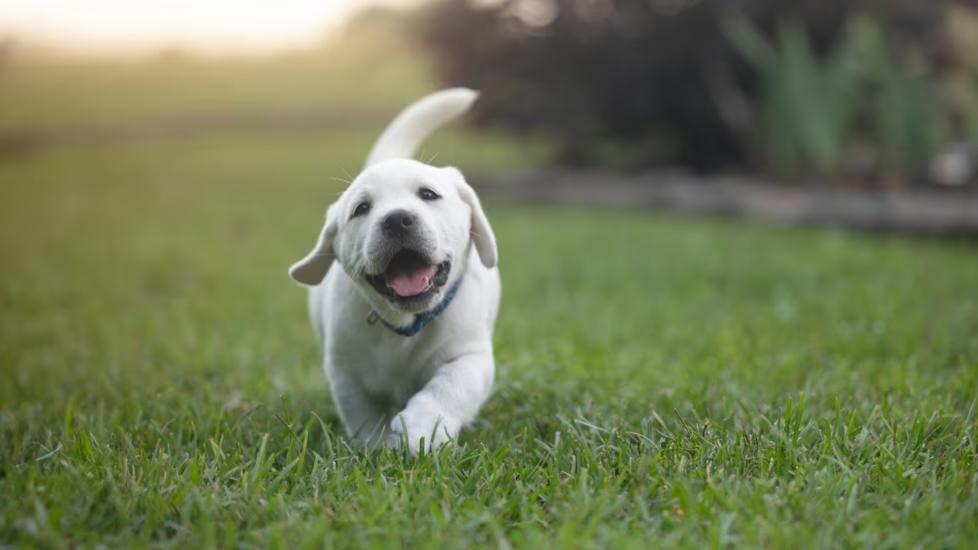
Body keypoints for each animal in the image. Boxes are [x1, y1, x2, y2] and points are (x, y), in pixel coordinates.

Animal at [284, 88, 496, 454]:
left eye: (428, 194)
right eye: (361, 209)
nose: (397, 219)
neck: (405, 326)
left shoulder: (471, 355)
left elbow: (450, 385)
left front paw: (425, 426)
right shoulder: (345, 372)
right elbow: (364, 416)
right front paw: (378, 448)